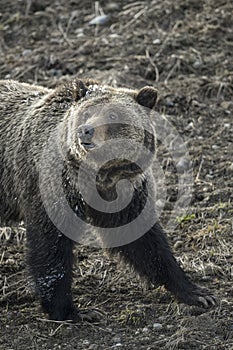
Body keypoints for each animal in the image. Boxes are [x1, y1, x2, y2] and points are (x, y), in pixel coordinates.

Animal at [0, 78, 217, 322]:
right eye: (87, 113)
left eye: (113, 114)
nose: (86, 131)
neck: (99, 176)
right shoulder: (54, 188)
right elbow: (51, 245)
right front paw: (72, 311)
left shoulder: (125, 193)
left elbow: (144, 240)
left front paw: (197, 293)